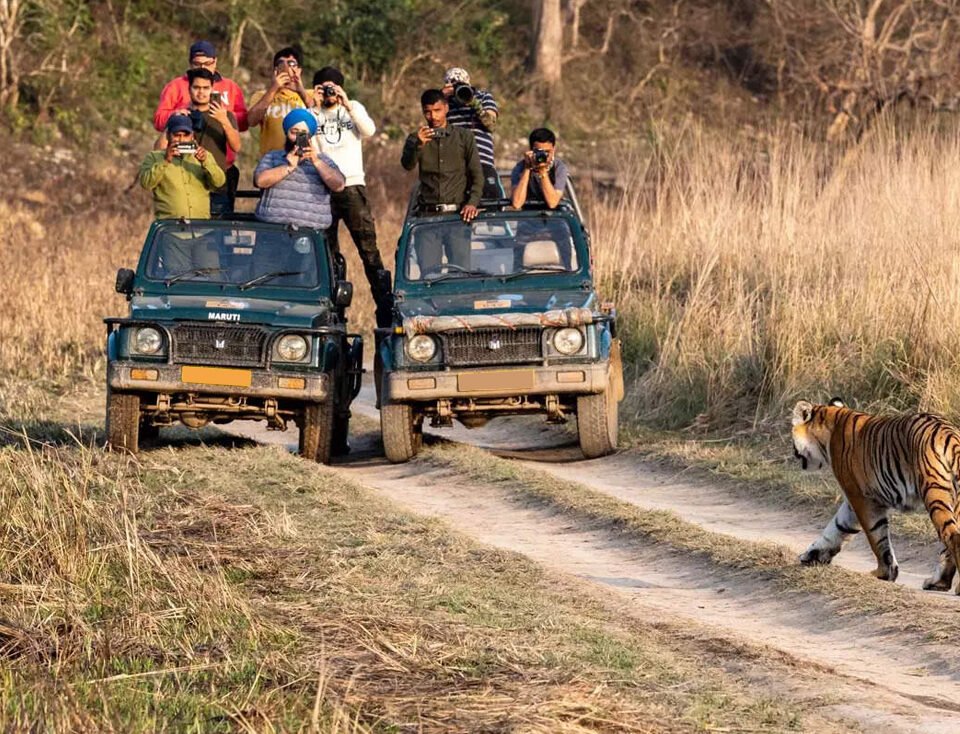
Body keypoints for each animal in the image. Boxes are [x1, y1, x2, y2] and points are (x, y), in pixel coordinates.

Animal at [791, 398, 960, 593]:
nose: (793, 452)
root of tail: (950, 434)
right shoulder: (853, 501)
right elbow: (837, 527)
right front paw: (812, 555)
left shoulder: (862, 497)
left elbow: (876, 537)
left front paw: (884, 573)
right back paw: (937, 582)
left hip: (934, 492)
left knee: (952, 536)